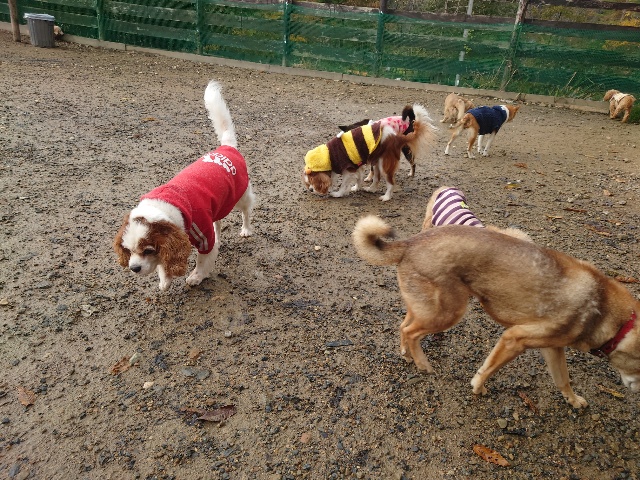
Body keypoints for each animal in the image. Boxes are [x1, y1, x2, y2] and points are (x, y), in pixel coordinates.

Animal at [113, 81, 255, 291]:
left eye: (148, 250)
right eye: (129, 250)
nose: (134, 268)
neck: (169, 205)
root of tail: (227, 146)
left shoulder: (203, 236)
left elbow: (202, 260)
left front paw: (196, 276)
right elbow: (164, 264)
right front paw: (165, 280)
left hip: (240, 197)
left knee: (246, 211)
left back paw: (246, 230)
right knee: (218, 222)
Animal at [303, 104, 434, 201]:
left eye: (312, 181)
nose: (310, 190)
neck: (329, 156)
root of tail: (396, 137)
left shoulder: (349, 169)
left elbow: (344, 184)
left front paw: (338, 193)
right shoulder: (357, 166)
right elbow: (359, 179)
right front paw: (356, 188)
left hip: (385, 164)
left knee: (391, 182)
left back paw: (386, 197)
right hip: (376, 162)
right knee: (376, 178)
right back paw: (371, 189)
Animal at [353, 215, 640, 408]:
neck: (607, 312)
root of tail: (410, 242)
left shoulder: (552, 347)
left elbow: (563, 379)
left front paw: (574, 400)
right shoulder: (515, 338)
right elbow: (489, 369)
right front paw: (478, 387)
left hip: (428, 307)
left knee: (404, 326)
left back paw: (408, 354)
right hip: (448, 312)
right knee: (412, 332)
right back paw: (423, 364)